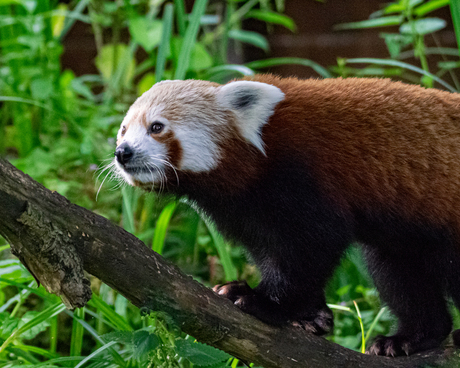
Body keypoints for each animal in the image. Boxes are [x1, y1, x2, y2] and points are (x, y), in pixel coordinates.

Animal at [113, 75, 460, 356]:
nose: (122, 152)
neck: (258, 155)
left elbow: (313, 244)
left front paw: (263, 301)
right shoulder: (246, 207)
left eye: (156, 127)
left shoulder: (301, 174)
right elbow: (271, 249)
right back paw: (411, 338)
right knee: (401, 278)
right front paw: (310, 314)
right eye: (123, 130)